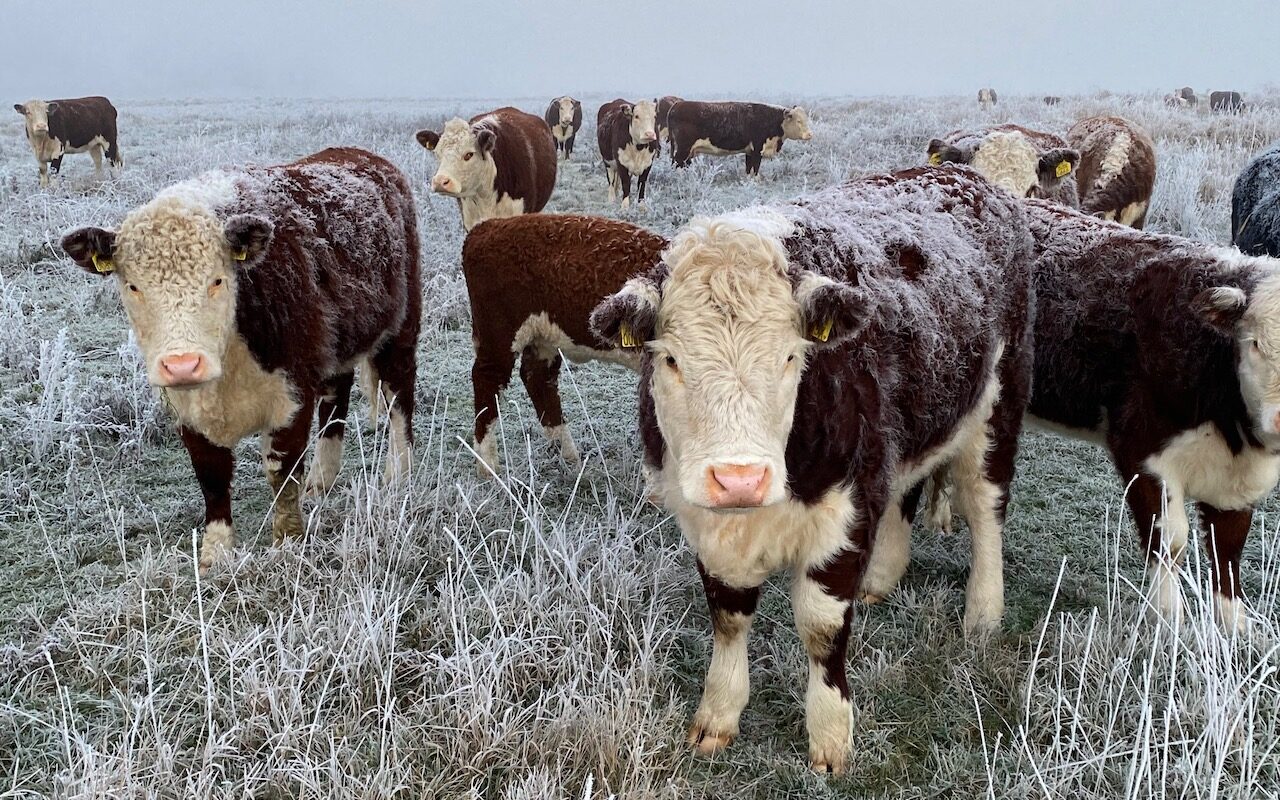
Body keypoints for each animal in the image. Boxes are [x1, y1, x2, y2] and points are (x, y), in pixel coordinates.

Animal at [60, 148, 421, 572]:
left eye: (217, 279)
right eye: (133, 286)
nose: (183, 364)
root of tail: (361, 156)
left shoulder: (292, 392)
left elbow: (282, 473)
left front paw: (288, 544)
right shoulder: (187, 409)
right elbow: (212, 478)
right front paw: (215, 556)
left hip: (401, 327)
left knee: (399, 394)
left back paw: (399, 474)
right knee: (337, 396)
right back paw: (322, 479)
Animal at [463, 213, 666, 475]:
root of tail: (485, 227)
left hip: (543, 337)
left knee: (537, 379)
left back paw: (569, 459)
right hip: (498, 334)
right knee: (487, 379)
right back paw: (489, 467)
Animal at [590, 165, 1036, 774]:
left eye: (790, 356)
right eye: (671, 360)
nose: (739, 479)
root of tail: (964, 176)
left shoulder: (843, 515)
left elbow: (821, 627)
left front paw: (830, 736)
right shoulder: (709, 524)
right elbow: (728, 615)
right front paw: (718, 714)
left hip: (997, 402)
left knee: (986, 503)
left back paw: (983, 614)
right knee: (904, 493)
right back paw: (881, 578)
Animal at [668, 101, 813, 176]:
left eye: (806, 119)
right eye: (798, 121)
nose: (810, 134)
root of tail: (678, 104)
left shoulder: (750, 151)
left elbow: (749, 169)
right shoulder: (758, 149)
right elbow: (755, 169)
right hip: (683, 148)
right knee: (677, 163)